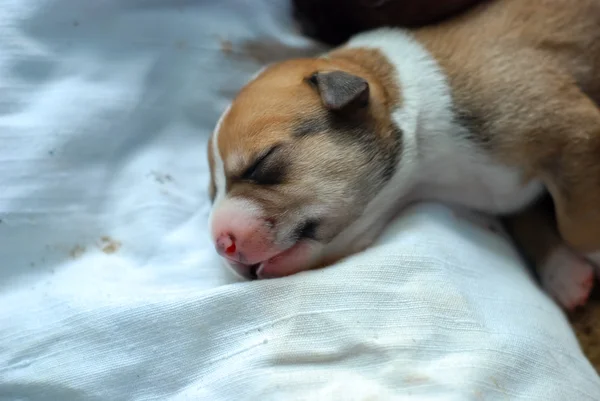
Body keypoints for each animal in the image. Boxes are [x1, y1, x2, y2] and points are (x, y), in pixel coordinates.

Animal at [207, 0, 600, 310]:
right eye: (212, 194)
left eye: (261, 162)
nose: (221, 245)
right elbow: (528, 216)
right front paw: (563, 272)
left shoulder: (573, 128)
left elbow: (578, 225)